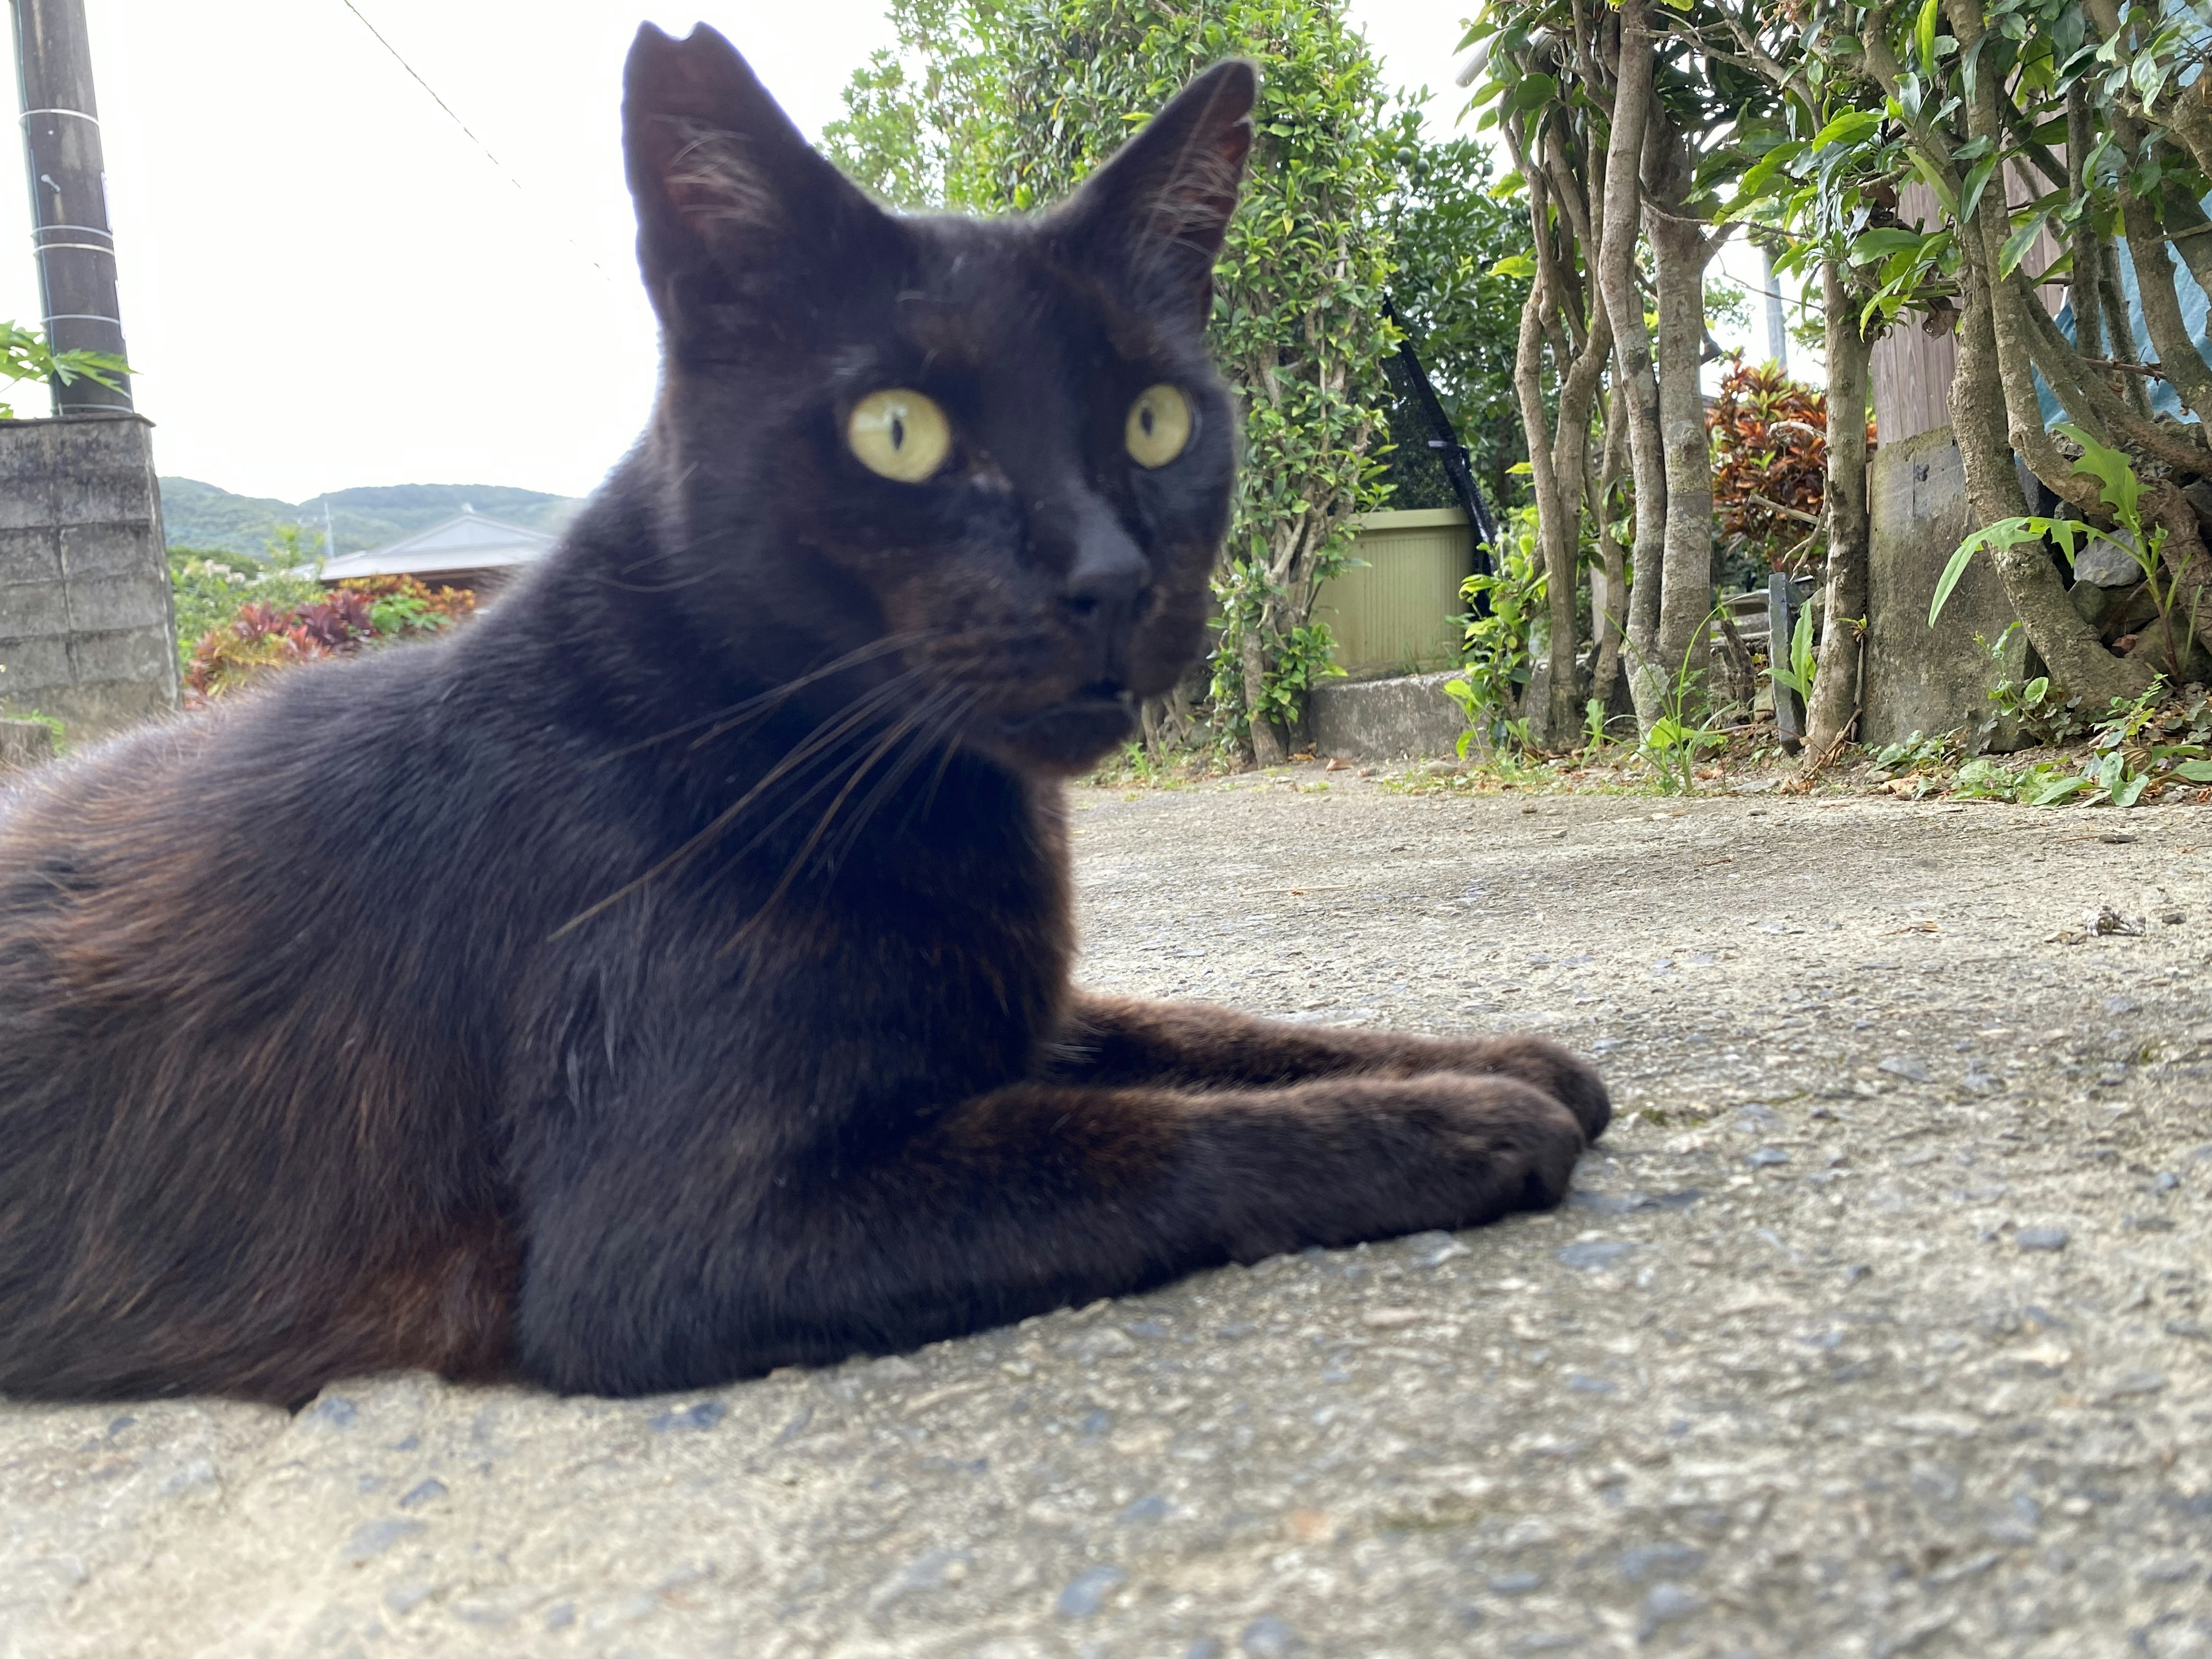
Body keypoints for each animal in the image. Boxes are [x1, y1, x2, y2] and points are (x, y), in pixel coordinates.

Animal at [0, 19, 1601, 1407]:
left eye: (1155, 420)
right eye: (897, 431)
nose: (1107, 576)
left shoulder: (999, 1019)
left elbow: (1202, 1031)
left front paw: (1495, 1057)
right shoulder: (685, 1243)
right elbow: (1127, 1143)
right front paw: (1462, 1119)